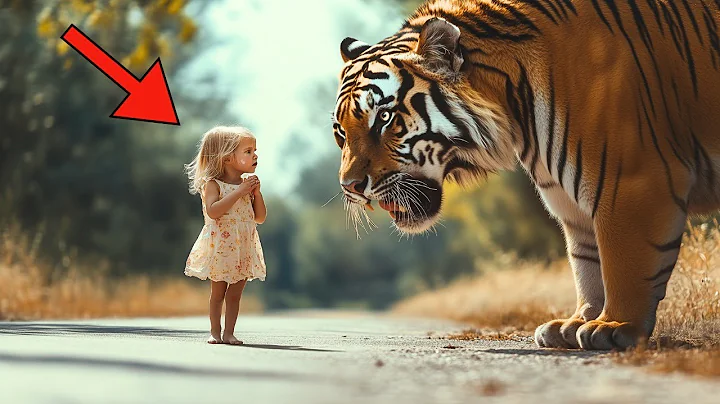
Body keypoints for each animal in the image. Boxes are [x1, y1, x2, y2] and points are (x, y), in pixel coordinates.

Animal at [331, 0, 720, 351]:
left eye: (384, 118)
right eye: (341, 132)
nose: (350, 187)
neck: (516, 108)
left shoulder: (633, 181)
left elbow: (623, 261)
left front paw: (613, 326)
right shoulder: (573, 205)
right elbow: (587, 263)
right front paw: (576, 323)